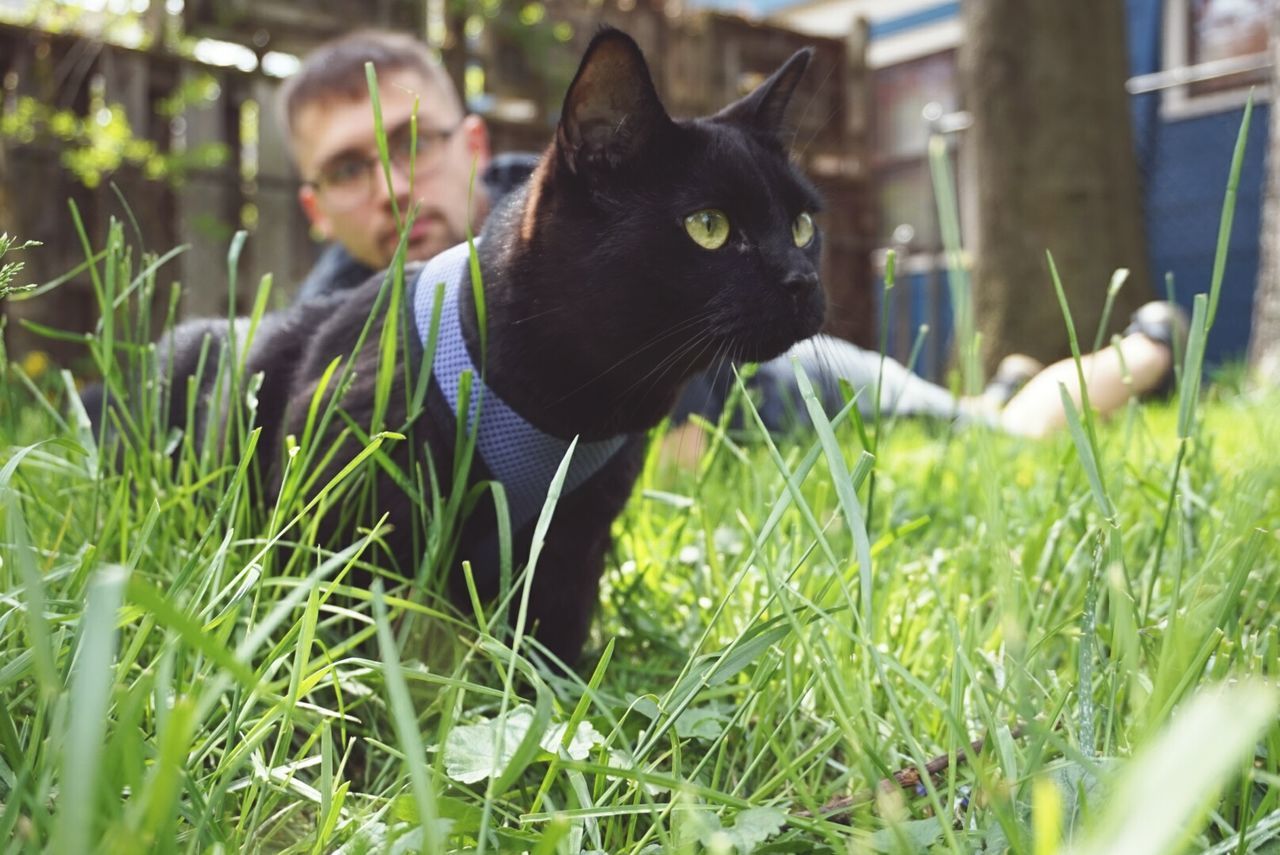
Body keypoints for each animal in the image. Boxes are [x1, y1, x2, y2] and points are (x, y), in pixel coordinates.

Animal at [120, 28, 824, 660]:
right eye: (708, 226)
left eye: (802, 224)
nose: (804, 279)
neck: (577, 409)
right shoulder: (347, 525)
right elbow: (340, 649)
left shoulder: (573, 543)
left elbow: (549, 650)